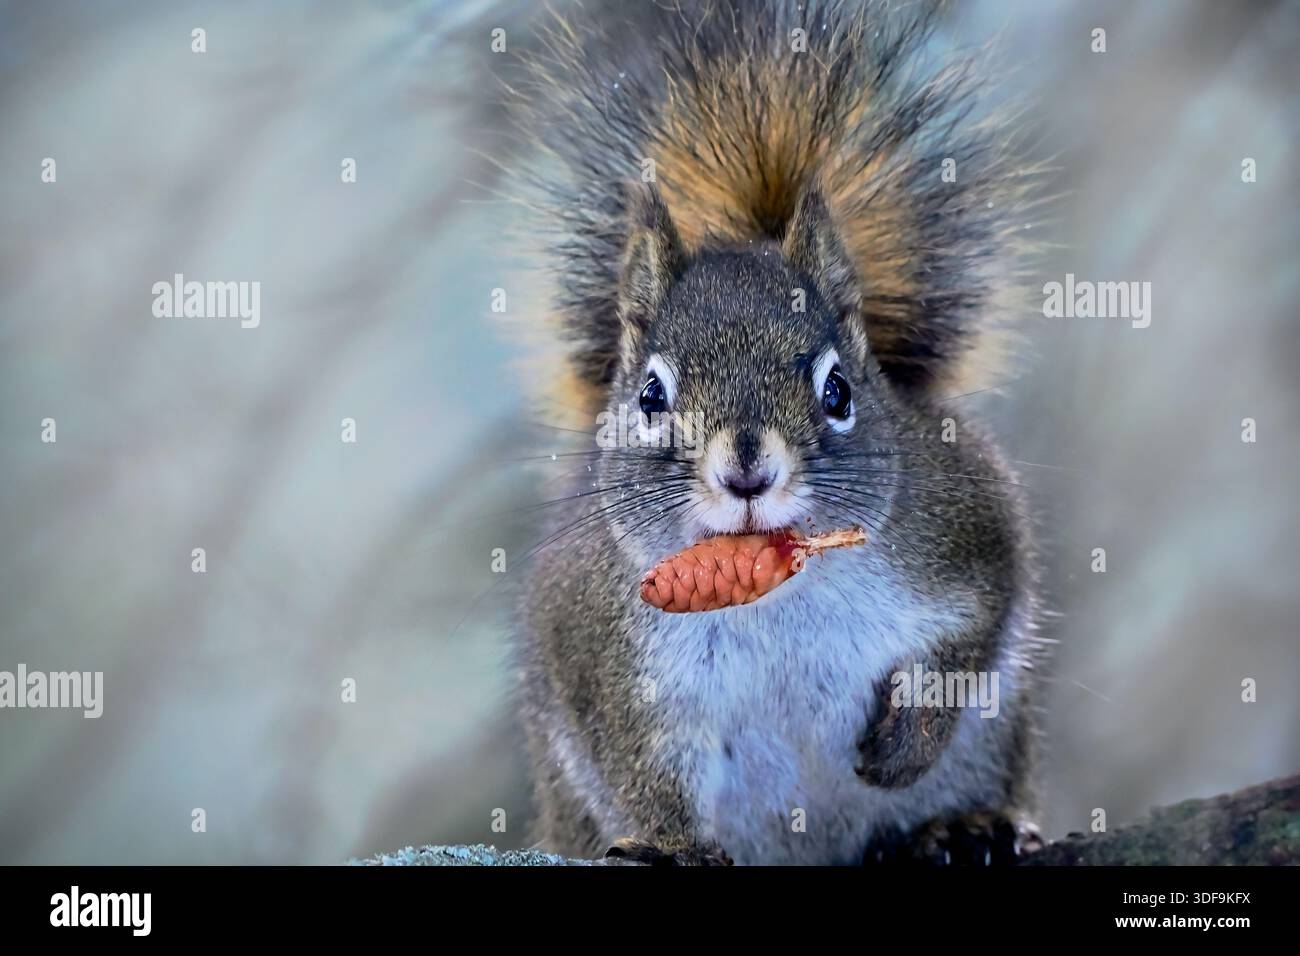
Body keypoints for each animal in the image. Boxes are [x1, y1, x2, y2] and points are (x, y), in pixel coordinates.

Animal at [504, 0, 1045, 865]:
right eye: (649, 395)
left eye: (839, 390)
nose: (748, 473)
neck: (775, 586)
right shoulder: (609, 663)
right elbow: (641, 771)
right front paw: (673, 847)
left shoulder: (964, 529)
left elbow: (976, 631)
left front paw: (909, 740)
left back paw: (962, 829)